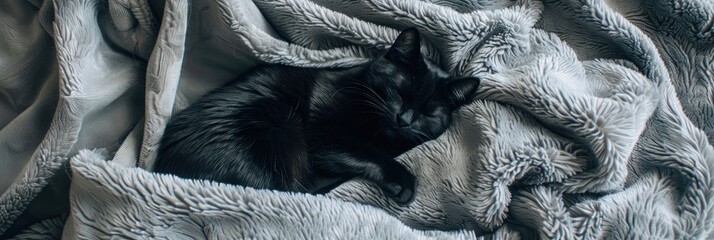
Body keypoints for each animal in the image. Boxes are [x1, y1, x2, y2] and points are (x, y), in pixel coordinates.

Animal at [155, 28, 478, 204]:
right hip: (279, 125)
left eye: (428, 112)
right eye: (399, 90)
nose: (405, 119)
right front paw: (403, 181)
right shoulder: (321, 133)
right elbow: (367, 153)